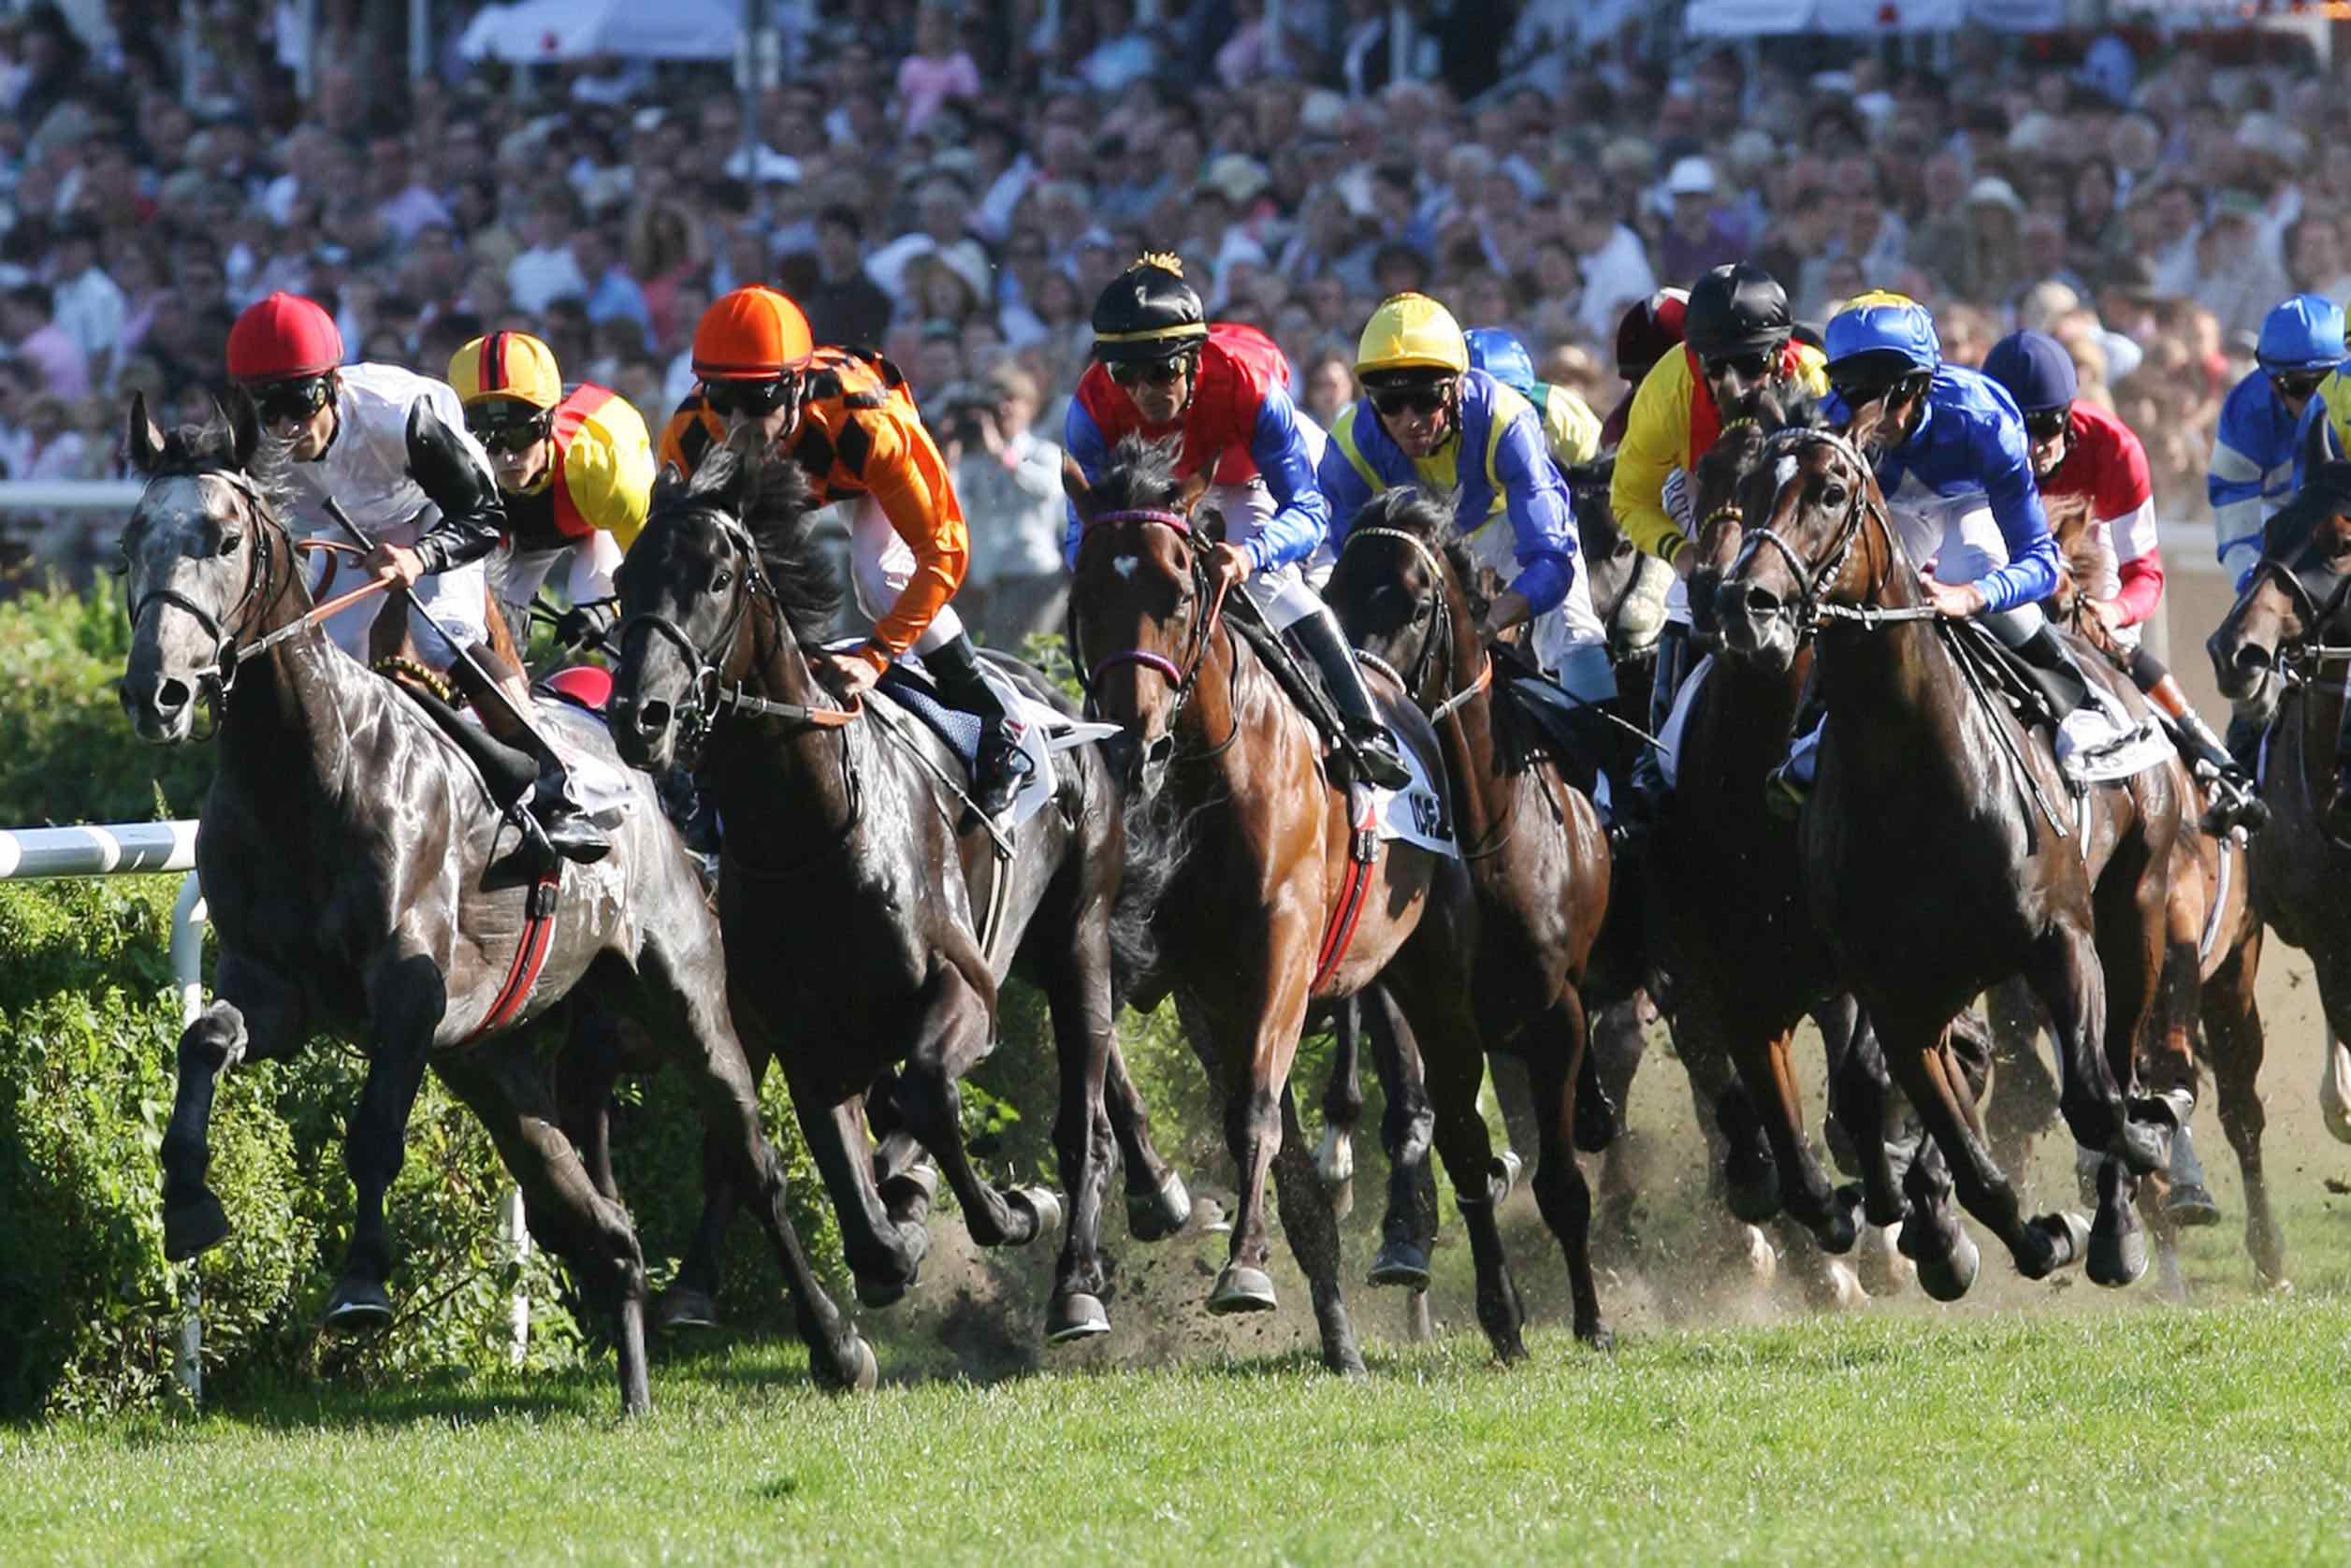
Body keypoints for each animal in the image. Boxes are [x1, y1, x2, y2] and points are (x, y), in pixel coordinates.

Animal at [108, 399, 864, 1419]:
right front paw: (188, 1204)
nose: (158, 691)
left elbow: (375, 1131)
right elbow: (204, 1041)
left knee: (752, 1162)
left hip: (683, 992)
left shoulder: (408, 990)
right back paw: (633, 1392)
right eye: (127, 544)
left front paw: (361, 1280)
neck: (304, 770)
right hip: (495, 1063)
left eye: (225, 538)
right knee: (602, 1226)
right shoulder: (276, 990)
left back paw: (836, 1344)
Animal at [602, 439, 1184, 1354]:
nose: (642, 716)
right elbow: (859, 1204)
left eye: (718, 578)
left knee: (1079, 1112)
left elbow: (933, 1095)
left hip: (1077, 931)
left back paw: (1077, 1284)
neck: (808, 830)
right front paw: (896, 1232)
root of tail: (1058, 704)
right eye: (626, 578)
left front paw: (1015, 1210)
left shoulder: (964, 989)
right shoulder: (804, 1040)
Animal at [1067, 434, 1523, 1363]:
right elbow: (1117, 1070)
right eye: (1087, 593)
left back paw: (1500, 1314)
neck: (1203, 781)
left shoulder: (1279, 951)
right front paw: (1149, 1202)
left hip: (1434, 976)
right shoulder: (1174, 973)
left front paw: (1244, 1268)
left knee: (1461, 1133)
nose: (1133, 743)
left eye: (1178, 594)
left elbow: (1254, 1112)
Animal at [1335, 484, 1626, 1344]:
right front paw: (1501, 1317)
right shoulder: (1441, 1016)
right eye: (1331, 593)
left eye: (1413, 601)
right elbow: (1464, 1153)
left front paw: (1591, 1322)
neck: (1486, 835)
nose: (1363, 707)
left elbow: (1562, 1181)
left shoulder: (1554, 1013)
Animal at [1711, 411, 2182, 1298]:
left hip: (2134, 912)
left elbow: (2095, 1100)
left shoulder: (2060, 940)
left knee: (2117, 1061)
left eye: (1830, 492)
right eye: (1747, 488)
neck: (1914, 774)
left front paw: (2142, 1146)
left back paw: (2118, 1220)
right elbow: (1966, 1155)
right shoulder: (1895, 998)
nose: (1745, 603)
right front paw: (2015, 1240)